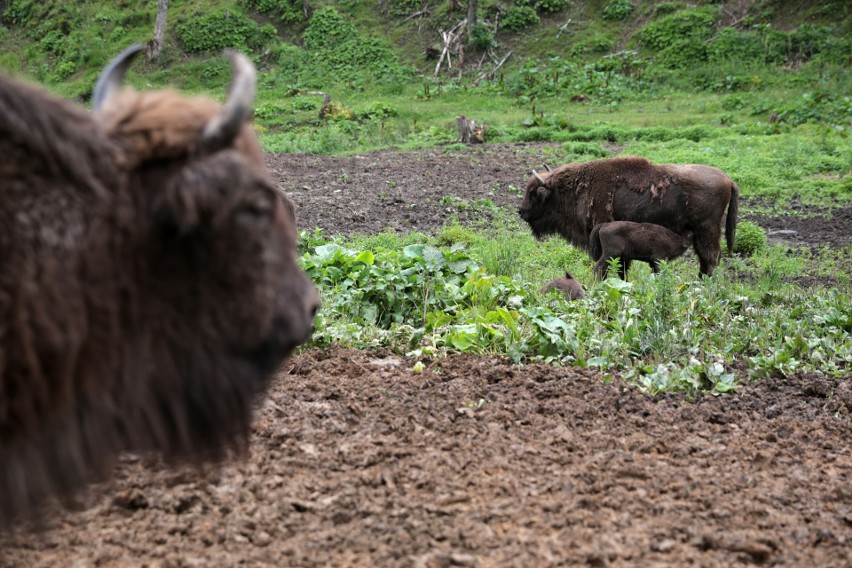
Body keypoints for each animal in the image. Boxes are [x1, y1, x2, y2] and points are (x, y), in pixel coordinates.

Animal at [520, 158, 740, 278]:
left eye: (533, 193)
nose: (521, 212)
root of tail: (729, 180)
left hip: (706, 230)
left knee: (710, 259)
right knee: (706, 260)